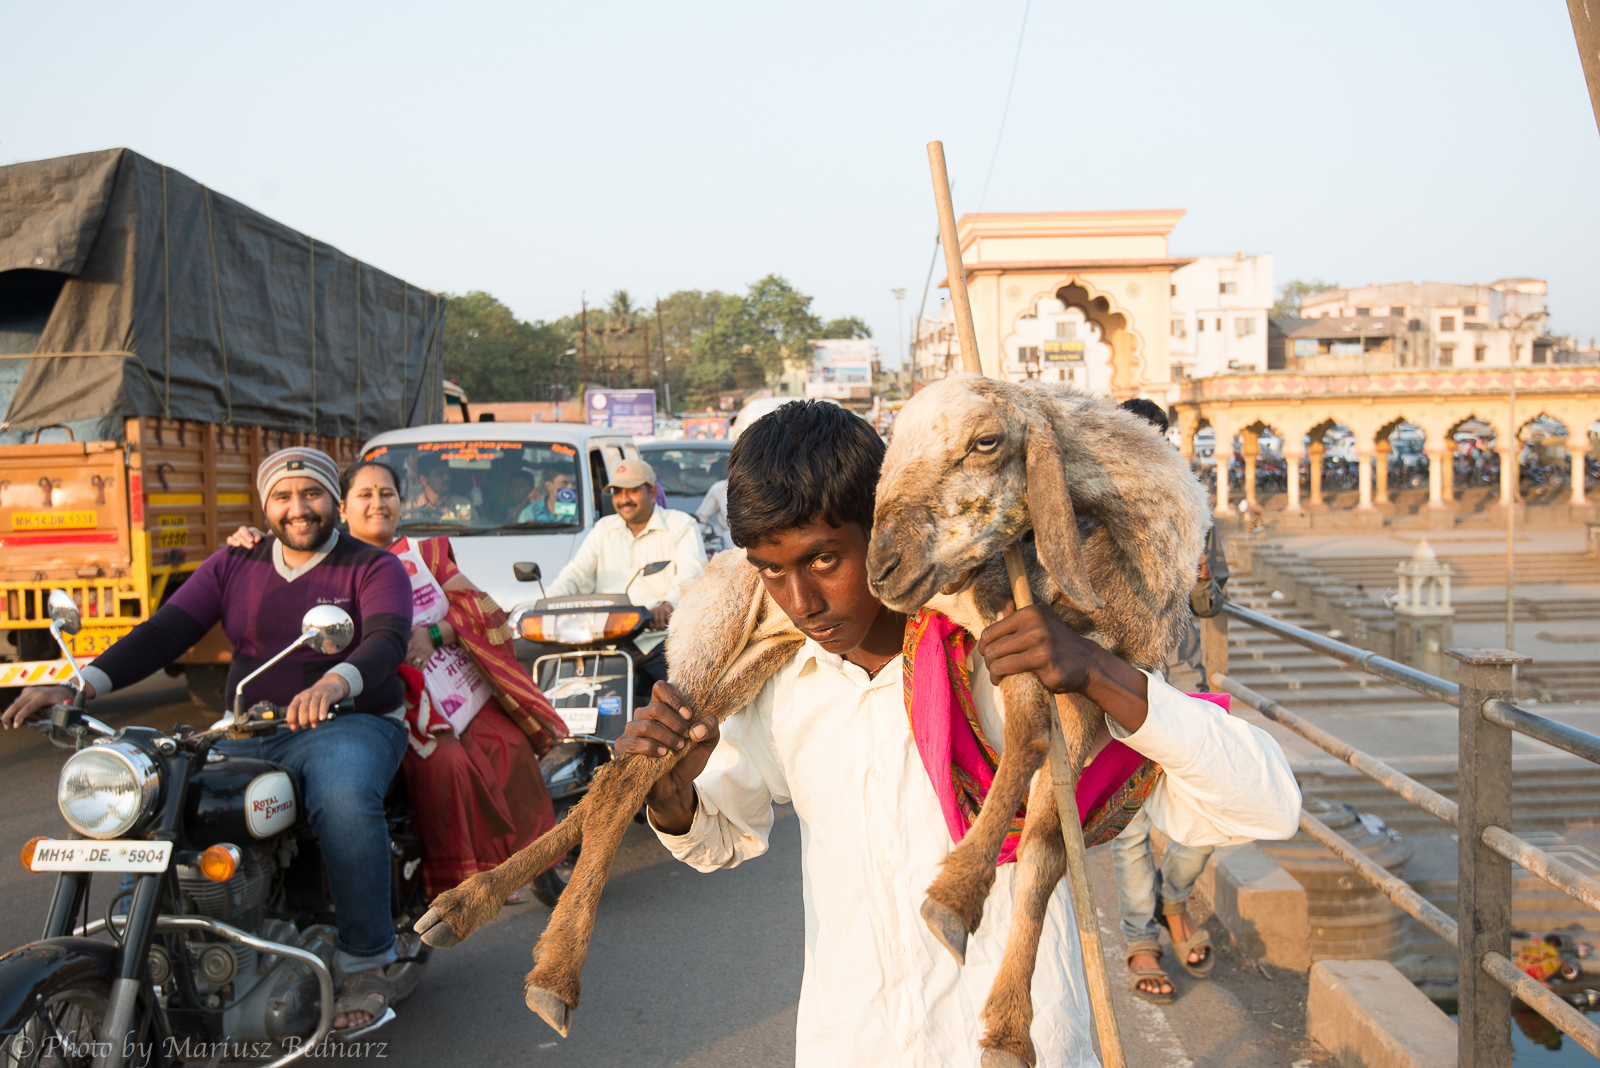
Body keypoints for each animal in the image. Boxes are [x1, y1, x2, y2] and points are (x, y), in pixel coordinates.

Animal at [870, 370, 1203, 1061]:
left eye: (986, 441)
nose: (880, 569)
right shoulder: (1010, 624)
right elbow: (1024, 732)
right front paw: (956, 896)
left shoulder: (1089, 689)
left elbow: (1049, 842)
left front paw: (1007, 1027)